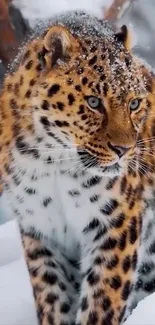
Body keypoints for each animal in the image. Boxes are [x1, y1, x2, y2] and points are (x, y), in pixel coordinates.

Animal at [0, 9, 155, 324]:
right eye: (94, 102)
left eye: (134, 104)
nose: (124, 150)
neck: (52, 161)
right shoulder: (41, 232)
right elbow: (52, 297)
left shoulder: (116, 224)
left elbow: (102, 301)